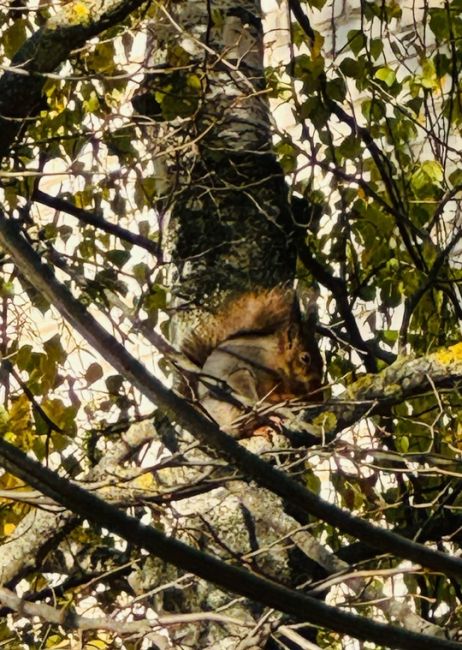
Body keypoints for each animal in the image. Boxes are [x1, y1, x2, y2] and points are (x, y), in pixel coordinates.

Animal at [177, 290, 324, 436]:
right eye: (305, 358)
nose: (318, 380)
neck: (276, 359)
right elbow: (272, 396)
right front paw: (292, 398)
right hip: (240, 383)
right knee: (245, 423)